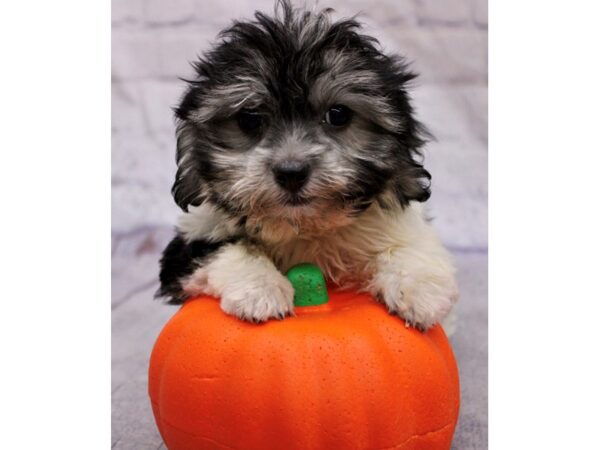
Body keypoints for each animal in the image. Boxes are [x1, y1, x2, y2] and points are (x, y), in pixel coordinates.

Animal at [157, 0, 458, 330]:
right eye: (250, 119)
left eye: (338, 115)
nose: (291, 173)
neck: (303, 227)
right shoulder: (188, 244)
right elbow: (227, 248)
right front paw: (261, 288)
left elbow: (410, 243)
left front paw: (418, 286)